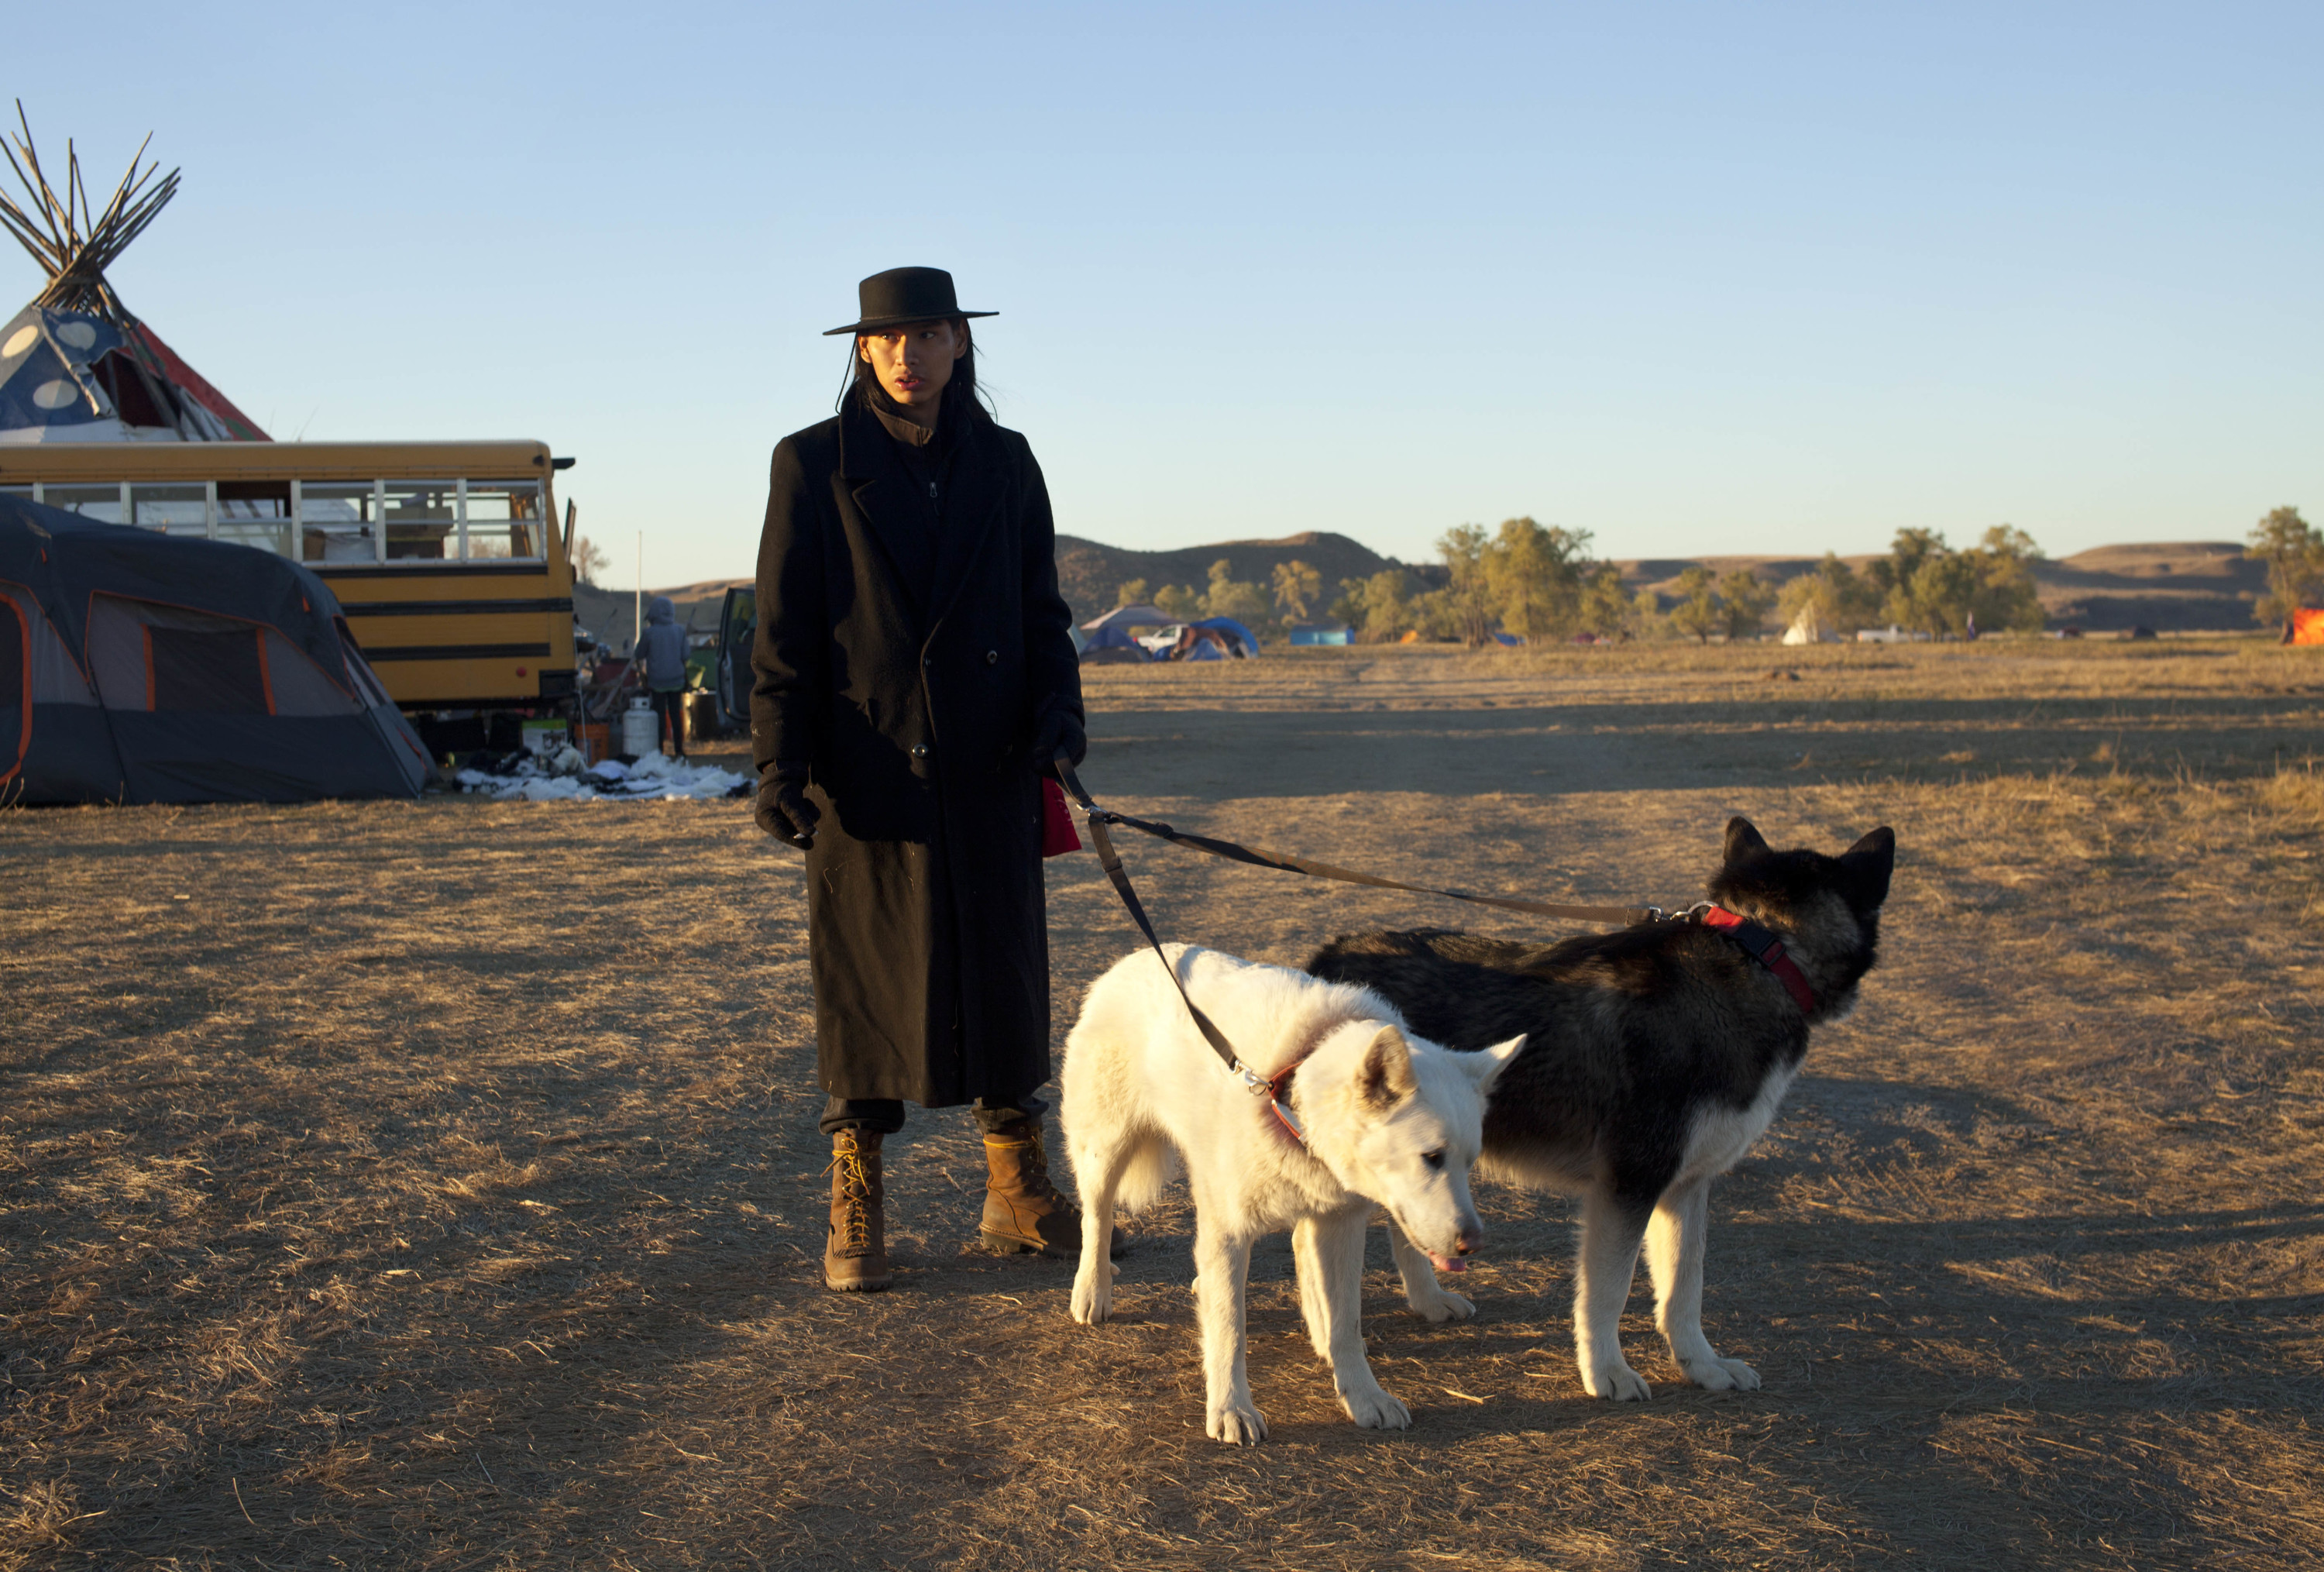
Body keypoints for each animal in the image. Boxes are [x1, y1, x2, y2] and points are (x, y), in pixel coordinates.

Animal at [1064, 944, 1515, 1450]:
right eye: (1432, 1157)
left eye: (1469, 1162)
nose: (1473, 1245)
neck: (1291, 1092)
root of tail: (1133, 959)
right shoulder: (1231, 1228)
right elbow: (1230, 1326)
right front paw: (1232, 1408)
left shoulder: (1340, 1224)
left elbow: (1345, 1323)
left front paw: (1363, 1396)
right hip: (1105, 1150)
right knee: (1097, 1219)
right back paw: (1093, 1290)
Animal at [1311, 818, 1887, 1395]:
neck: (1758, 954)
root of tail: (1329, 955)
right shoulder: (1627, 1186)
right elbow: (1608, 1293)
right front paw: (1607, 1371)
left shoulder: (1685, 1186)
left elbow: (1684, 1290)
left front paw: (1702, 1365)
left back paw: (1428, 1301)